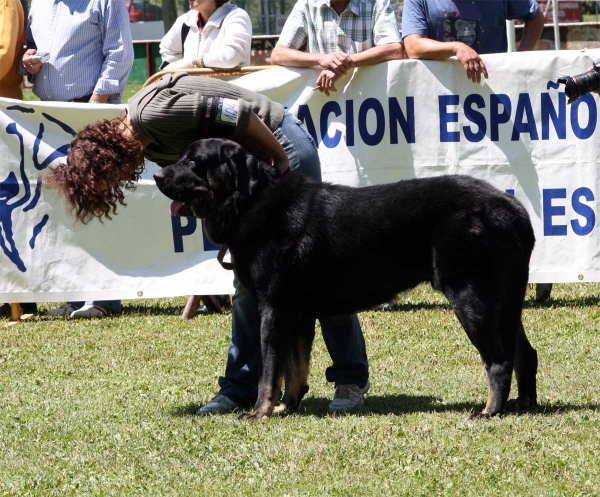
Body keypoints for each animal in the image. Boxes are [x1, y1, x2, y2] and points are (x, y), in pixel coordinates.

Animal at [155, 138, 540, 420]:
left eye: (194, 162)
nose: (158, 177)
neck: (252, 203)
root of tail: (514, 211)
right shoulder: (297, 313)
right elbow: (294, 368)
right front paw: (286, 406)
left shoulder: (274, 309)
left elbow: (269, 371)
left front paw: (259, 412)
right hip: (505, 302)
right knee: (525, 353)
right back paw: (523, 404)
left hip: (470, 296)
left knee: (498, 359)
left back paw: (489, 411)